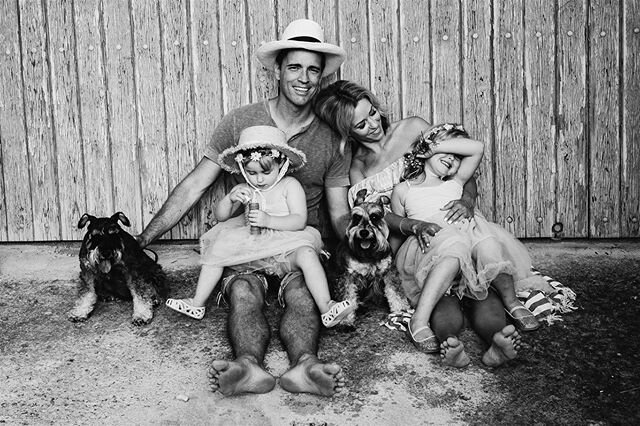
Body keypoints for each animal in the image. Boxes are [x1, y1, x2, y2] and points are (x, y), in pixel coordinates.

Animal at [330, 190, 410, 326]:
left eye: (374, 217)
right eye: (357, 217)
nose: (364, 232)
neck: (368, 254)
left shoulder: (389, 272)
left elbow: (395, 292)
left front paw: (401, 310)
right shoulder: (347, 276)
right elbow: (347, 296)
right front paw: (346, 319)